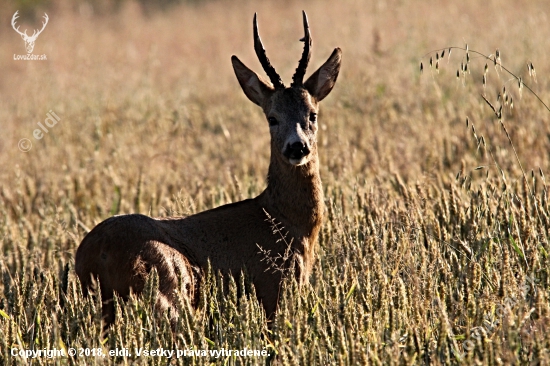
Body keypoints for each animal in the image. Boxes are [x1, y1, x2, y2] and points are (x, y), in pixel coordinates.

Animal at [73, 10, 340, 326]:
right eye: (272, 117)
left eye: (312, 114)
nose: (297, 147)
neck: (284, 220)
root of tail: (94, 254)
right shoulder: (272, 289)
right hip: (169, 286)